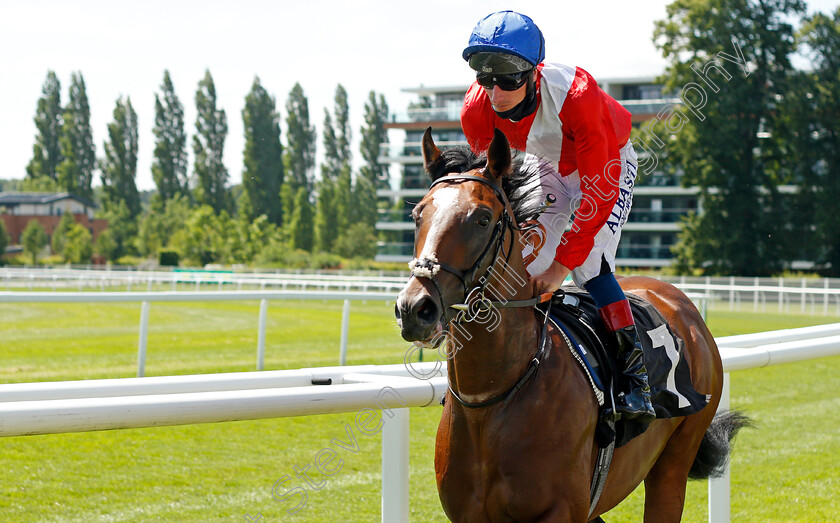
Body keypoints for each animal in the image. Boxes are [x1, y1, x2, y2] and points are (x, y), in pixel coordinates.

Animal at [396, 128, 748, 523]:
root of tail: (681, 304)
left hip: (675, 460)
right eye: (417, 214)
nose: (415, 308)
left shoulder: (560, 511)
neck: (490, 401)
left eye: (483, 218)